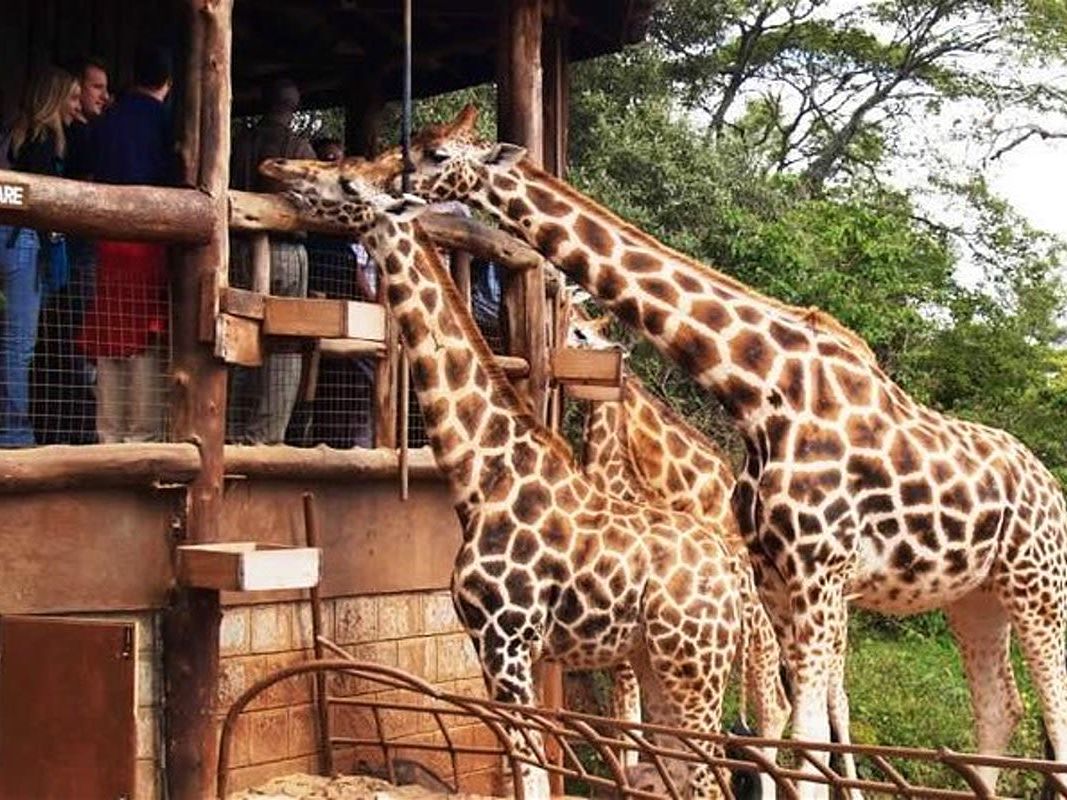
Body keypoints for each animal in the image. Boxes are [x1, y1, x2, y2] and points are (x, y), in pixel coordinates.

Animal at [260, 153, 748, 799]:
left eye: (345, 181)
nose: (276, 167)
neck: (483, 473)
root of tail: (732, 578)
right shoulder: (490, 645)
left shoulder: (507, 642)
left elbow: (532, 770)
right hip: (658, 661)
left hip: (694, 666)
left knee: (714, 776)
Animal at [401, 106, 1067, 796]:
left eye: (435, 154)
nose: (391, 182)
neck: (760, 389)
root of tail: (1052, 486)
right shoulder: (776, 576)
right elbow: (781, 725)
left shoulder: (819, 573)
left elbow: (796, 727)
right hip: (974, 595)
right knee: (999, 707)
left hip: (1038, 584)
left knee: (1052, 710)